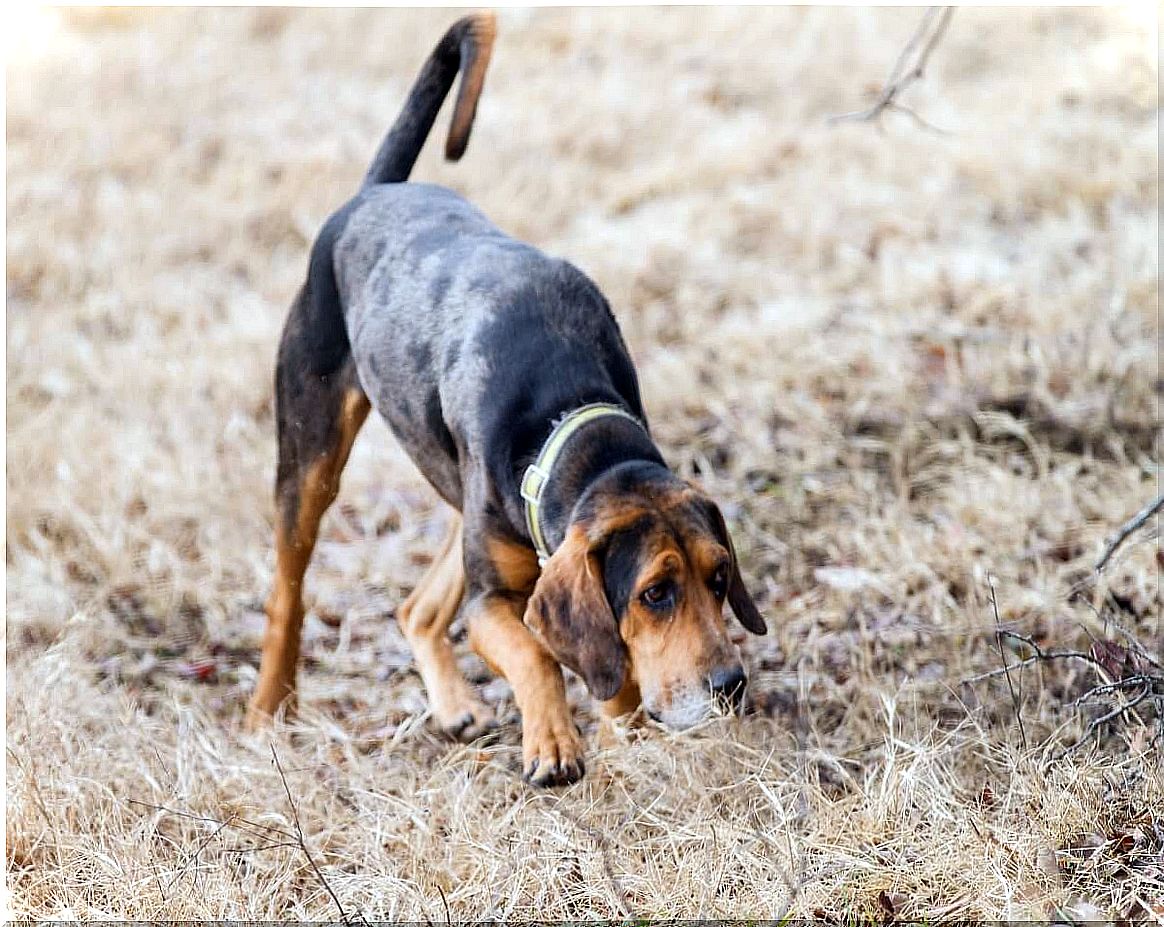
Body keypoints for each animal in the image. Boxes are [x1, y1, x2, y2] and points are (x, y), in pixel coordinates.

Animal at [246, 12, 768, 782]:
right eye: (656, 592)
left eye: (721, 573)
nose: (731, 686)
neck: (571, 423)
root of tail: (373, 193)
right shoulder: (493, 601)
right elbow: (533, 651)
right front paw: (552, 740)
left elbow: (605, 667)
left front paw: (621, 732)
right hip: (311, 459)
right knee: (288, 592)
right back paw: (269, 706)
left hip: (463, 505)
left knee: (418, 607)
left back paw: (452, 700)